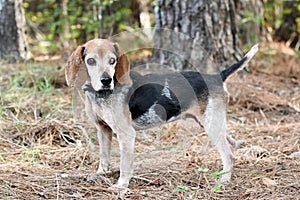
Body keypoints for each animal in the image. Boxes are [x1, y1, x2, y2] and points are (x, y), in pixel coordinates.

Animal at [65, 38, 258, 191]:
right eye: (90, 61)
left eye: (113, 61)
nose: (106, 80)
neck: (100, 94)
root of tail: (216, 76)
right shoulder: (103, 129)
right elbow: (103, 158)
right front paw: (99, 175)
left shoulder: (126, 134)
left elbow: (124, 164)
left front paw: (121, 186)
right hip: (211, 123)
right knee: (231, 145)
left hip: (211, 125)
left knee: (229, 155)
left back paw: (224, 180)